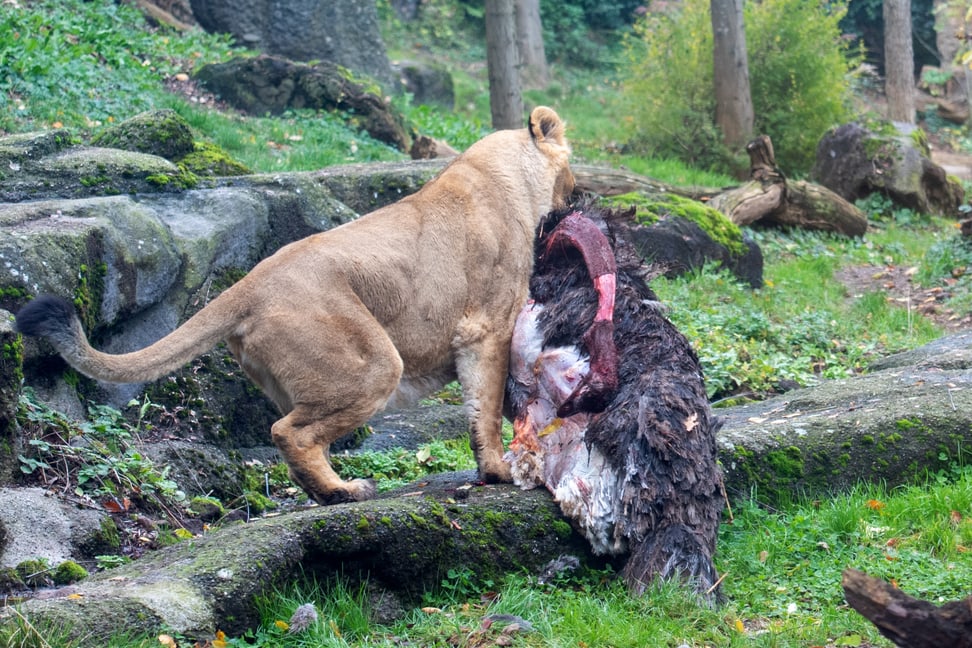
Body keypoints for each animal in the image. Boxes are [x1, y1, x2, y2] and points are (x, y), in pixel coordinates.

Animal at [15, 106, 574, 505]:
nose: (578, 198)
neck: (502, 176)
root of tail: (248, 284)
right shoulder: (487, 328)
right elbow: (485, 407)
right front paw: (497, 471)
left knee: (300, 432)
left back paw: (332, 490)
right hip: (373, 363)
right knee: (289, 432)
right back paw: (344, 491)